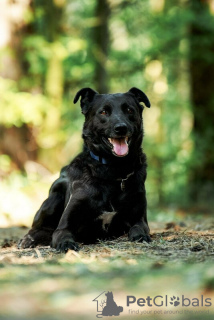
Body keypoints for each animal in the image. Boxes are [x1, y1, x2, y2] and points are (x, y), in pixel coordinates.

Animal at [18, 87, 152, 252]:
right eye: (103, 112)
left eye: (129, 110)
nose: (121, 128)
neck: (113, 169)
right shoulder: (64, 226)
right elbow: (62, 234)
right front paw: (66, 244)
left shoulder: (139, 219)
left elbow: (138, 228)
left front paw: (140, 236)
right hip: (54, 197)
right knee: (37, 228)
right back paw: (29, 239)